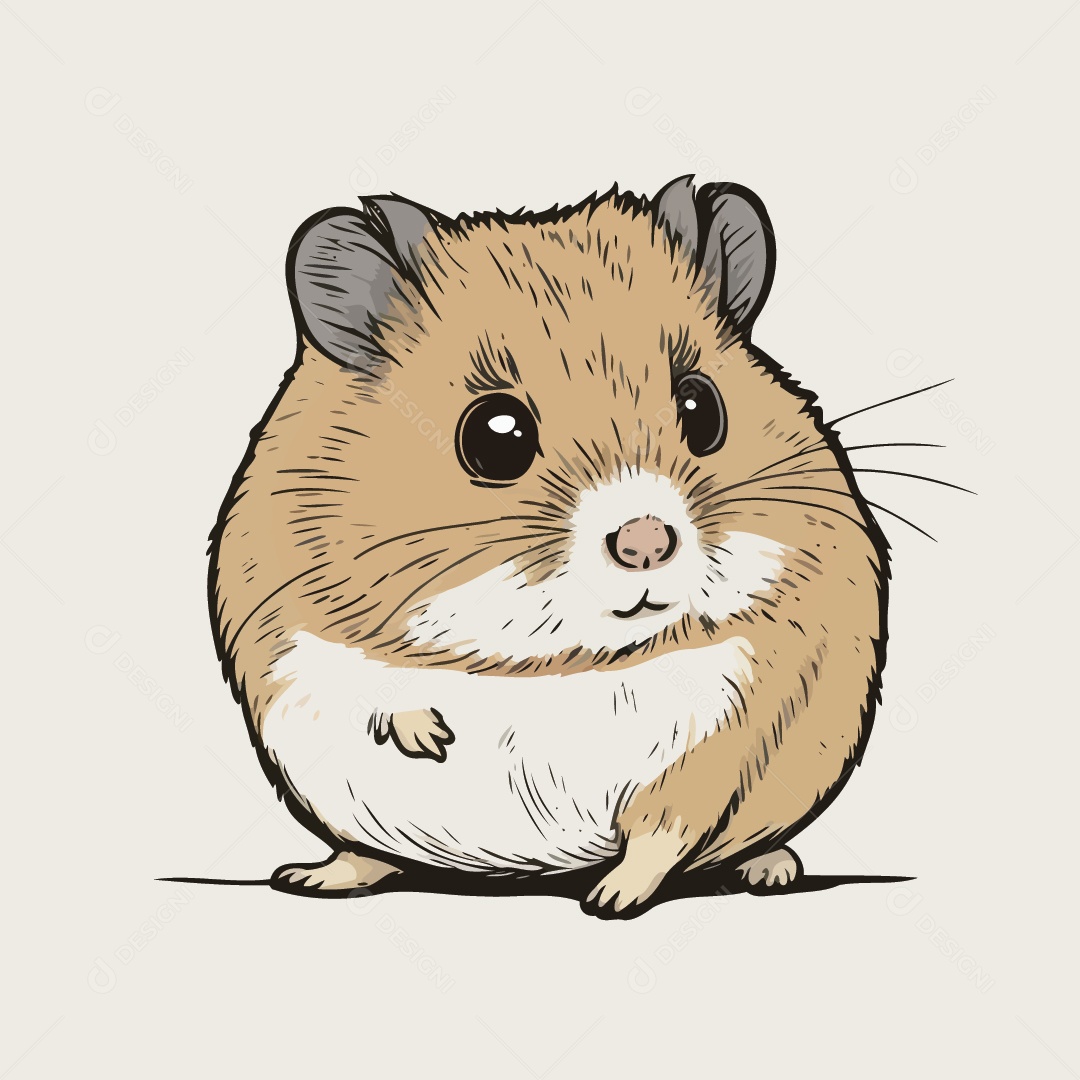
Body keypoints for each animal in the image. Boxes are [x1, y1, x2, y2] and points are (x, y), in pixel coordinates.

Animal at [208, 176, 888, 917]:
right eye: (494, 435)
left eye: (701, 407)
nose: (646, 543)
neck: (550, 657)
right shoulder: (290, 627)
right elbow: (371, 680)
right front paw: (431, 735)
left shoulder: (723, 731)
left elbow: (664, 834)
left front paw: (610, 901)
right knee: (364, 850)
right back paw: (309, 877)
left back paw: (759, 872)